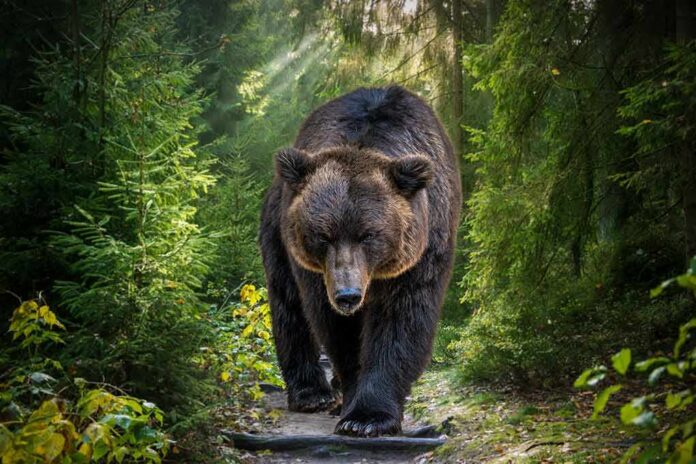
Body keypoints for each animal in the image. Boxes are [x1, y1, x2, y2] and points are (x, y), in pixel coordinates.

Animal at [259, 85, 461, 437]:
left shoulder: (420, 252)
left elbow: (400, 320)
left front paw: (368, 417)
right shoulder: (317, 271)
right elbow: (336, 328)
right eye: (323, 235)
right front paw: (354, 405)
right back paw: (312, 394)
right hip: (277, 232)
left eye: (369, 234)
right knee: (289, 306)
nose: (348, 295)